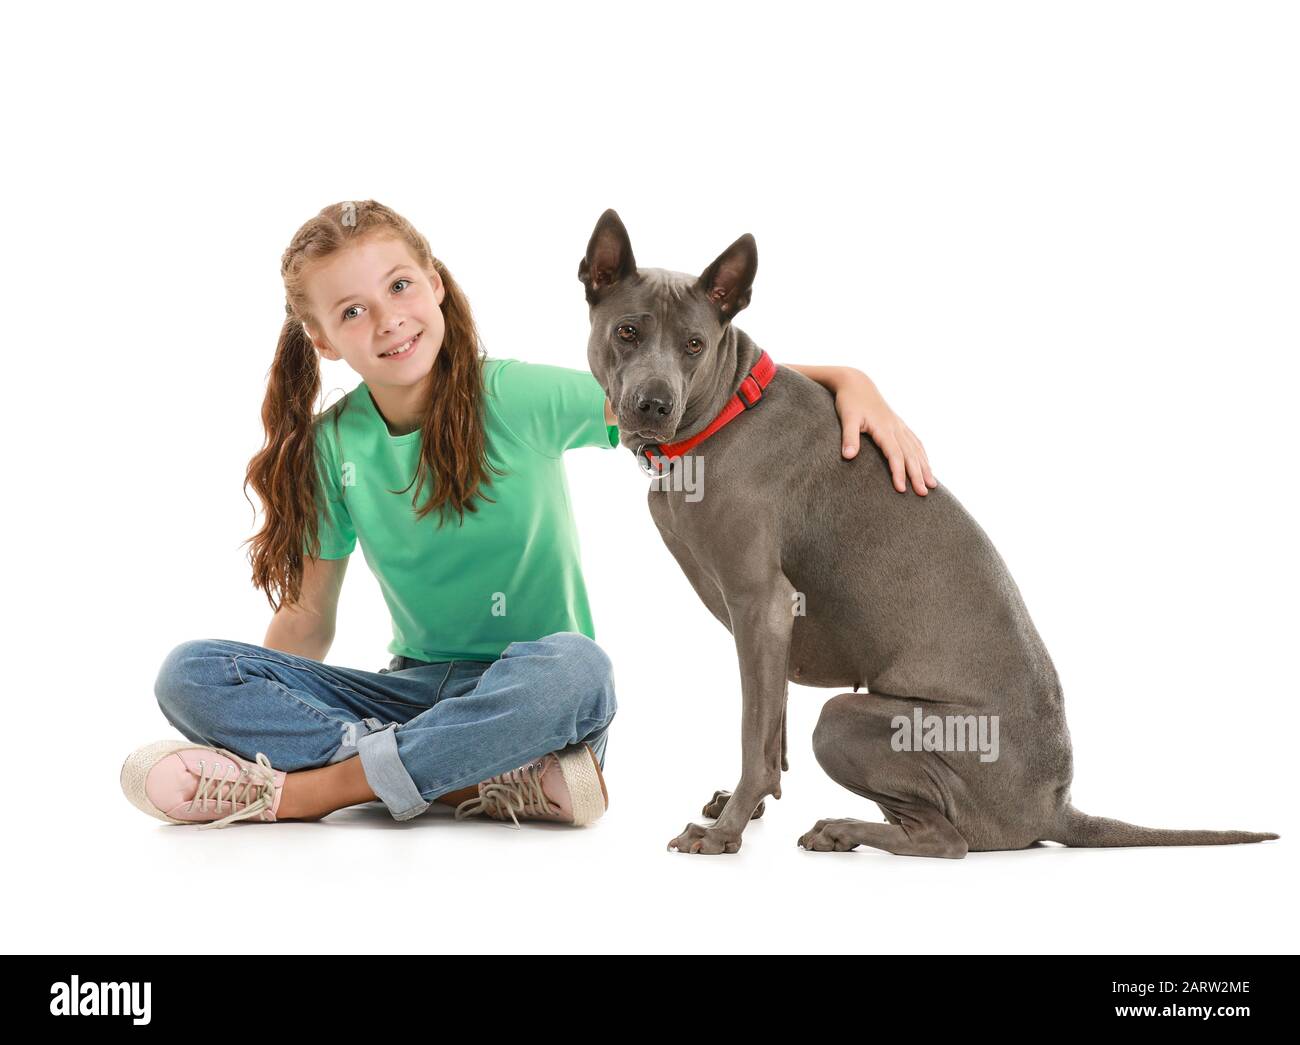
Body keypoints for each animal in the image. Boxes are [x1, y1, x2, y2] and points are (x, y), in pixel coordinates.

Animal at [579, 206, 1279, 857]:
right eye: (627, 331)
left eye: (695, 345)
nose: (653, 405)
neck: (723, 411)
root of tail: (1055, 807)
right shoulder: (766, 627)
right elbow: (770, 731)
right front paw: (743, 810)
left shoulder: (762, 604)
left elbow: (756, 732)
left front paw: (724, 834)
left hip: (849, 718)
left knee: (947, 839)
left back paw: (843, 829)